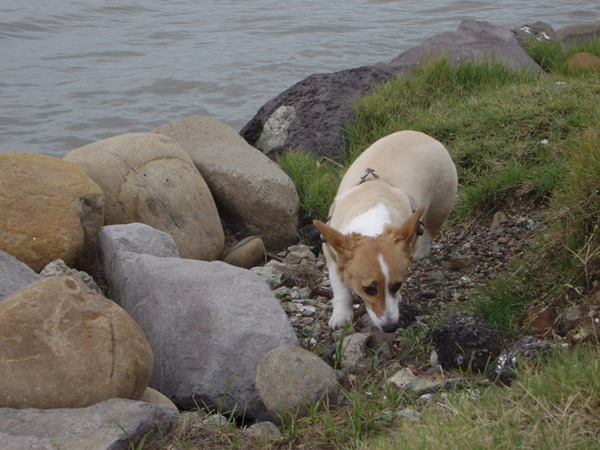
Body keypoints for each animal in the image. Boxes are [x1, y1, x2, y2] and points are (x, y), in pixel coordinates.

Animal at [312, 131, 458, 334]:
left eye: (397, 285)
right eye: (368, 289)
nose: (390, 328)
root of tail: (422, 134)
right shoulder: (333, 257)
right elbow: (340, 289)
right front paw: (341, 316)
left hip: (441, 204)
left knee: (429, 229)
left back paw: (420, 251)